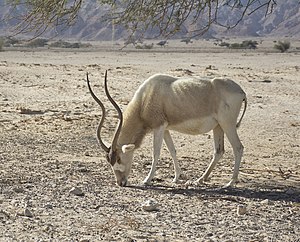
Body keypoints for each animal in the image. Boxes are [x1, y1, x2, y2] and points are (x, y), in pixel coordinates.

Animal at [86, 70, 246, 187]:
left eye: (118, 158)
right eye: (109, 161)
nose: (120, 182)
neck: (145, 98)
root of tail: (241, 91)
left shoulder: (158, 127)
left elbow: (156, 153)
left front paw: (147, 180)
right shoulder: (166, 129)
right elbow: (172, 150)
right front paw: (176, 177)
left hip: (227, 124)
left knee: (238, 147)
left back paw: (230, 183)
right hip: (218, 126)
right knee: (219, 151)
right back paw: (201, 179)